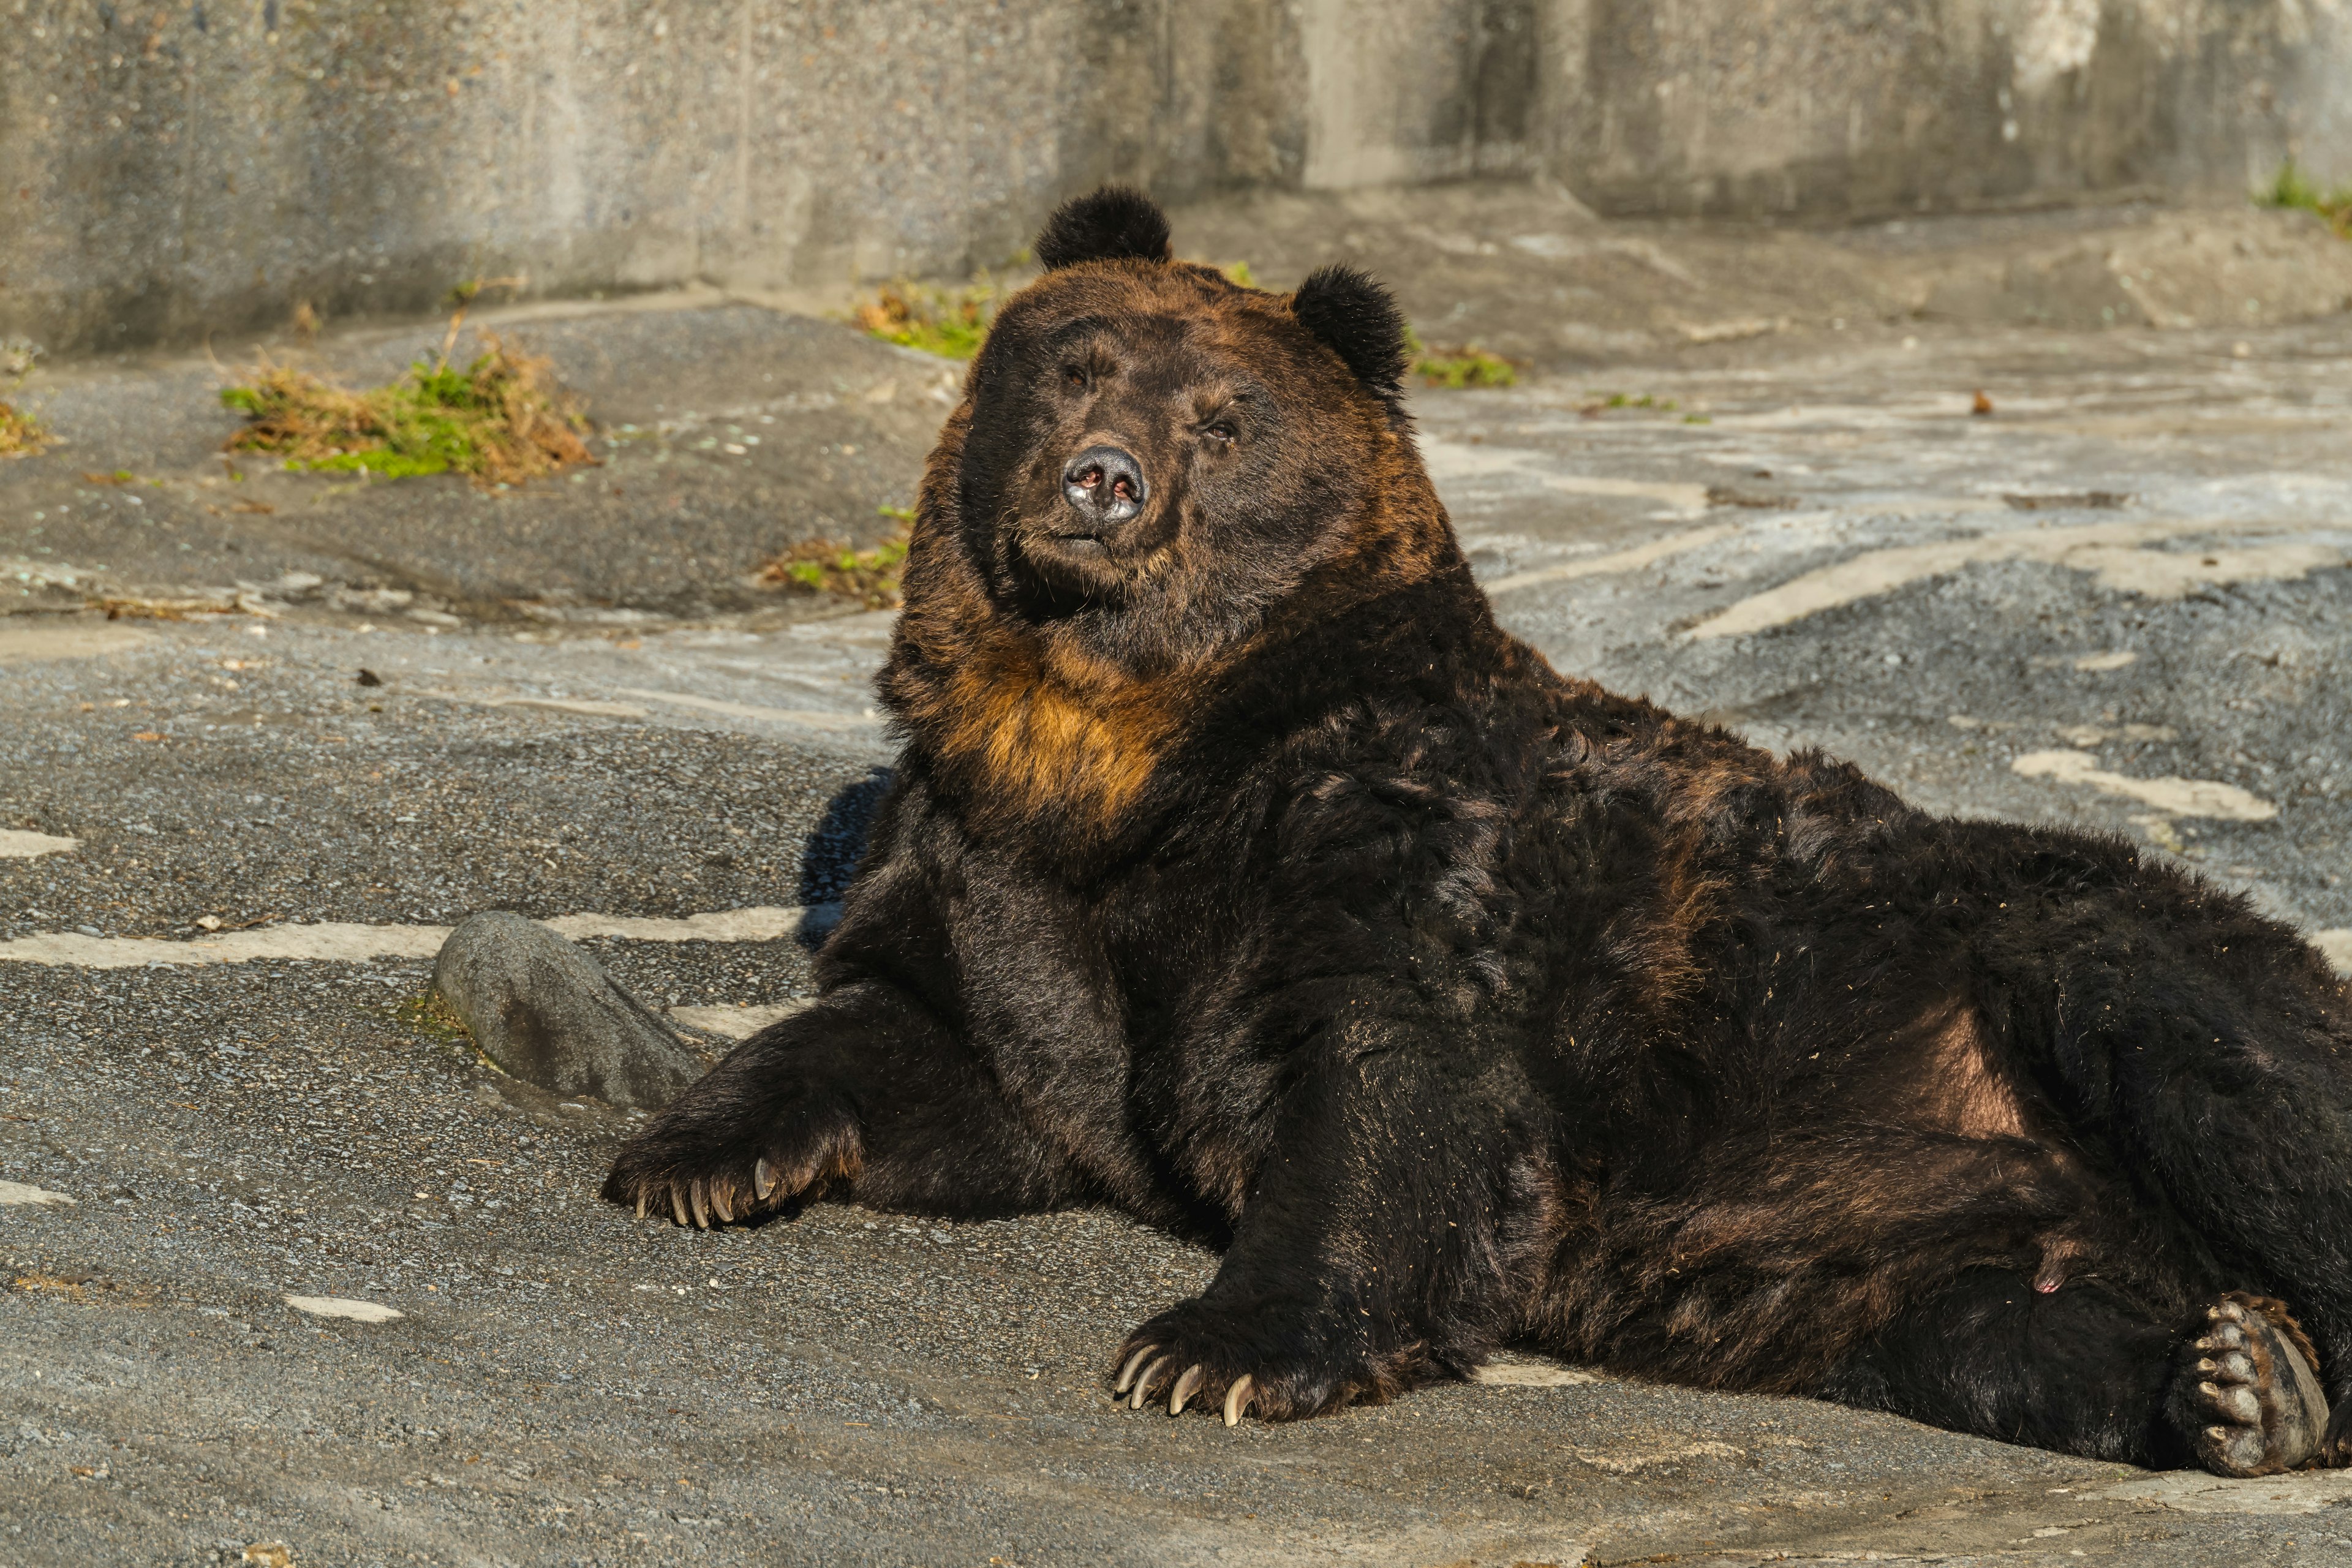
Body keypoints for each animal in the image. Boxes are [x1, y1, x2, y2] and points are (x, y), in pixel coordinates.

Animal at [602, 190, 2352, 1476]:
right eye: (1079, 359)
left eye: (1224, 417)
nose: (1103, 483)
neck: (1125, 748)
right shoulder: (999, 872)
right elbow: (925, 1034)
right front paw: (692, 1156)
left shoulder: (1394, 830)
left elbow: (1395, 1078)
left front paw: (1207, 1348)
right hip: (1906, 1248)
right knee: (2002, 1335)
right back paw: (2235, 1379)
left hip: (2037, 949)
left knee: (2215, 1062)